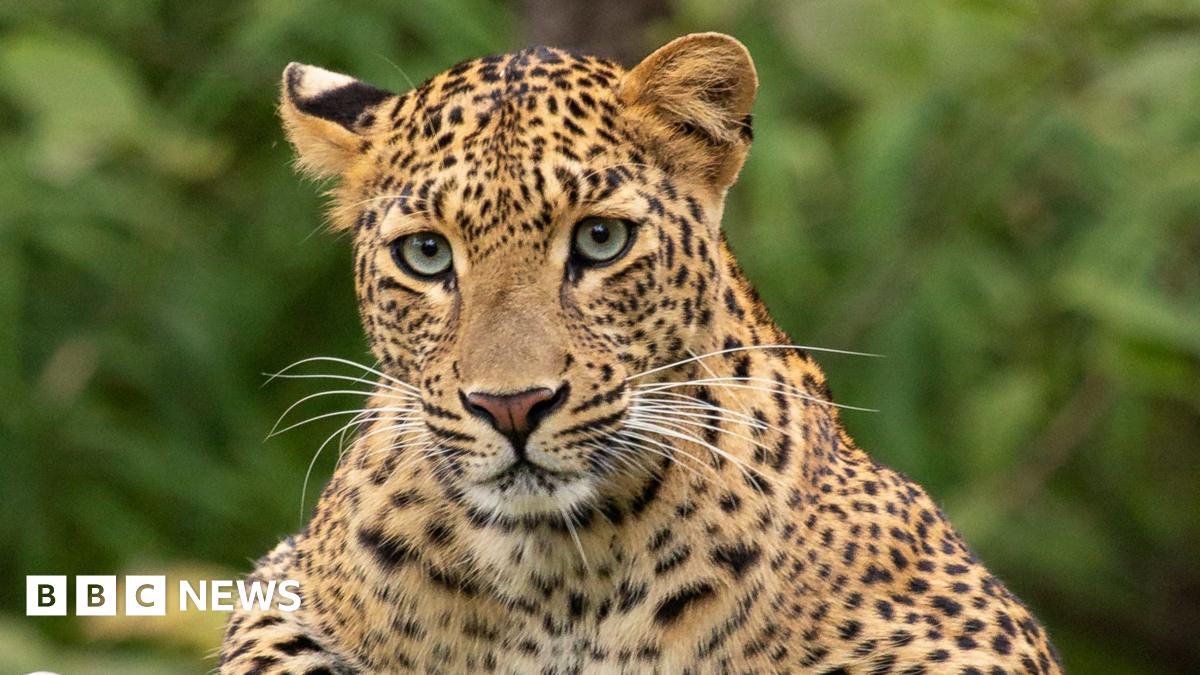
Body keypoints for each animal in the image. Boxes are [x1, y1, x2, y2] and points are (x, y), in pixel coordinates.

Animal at [219, 33, 1062, 675]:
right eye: (426, 254)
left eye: (601, 238)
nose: (511, 406)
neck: (555, 581)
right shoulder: (286, 581)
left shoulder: (970, 631)